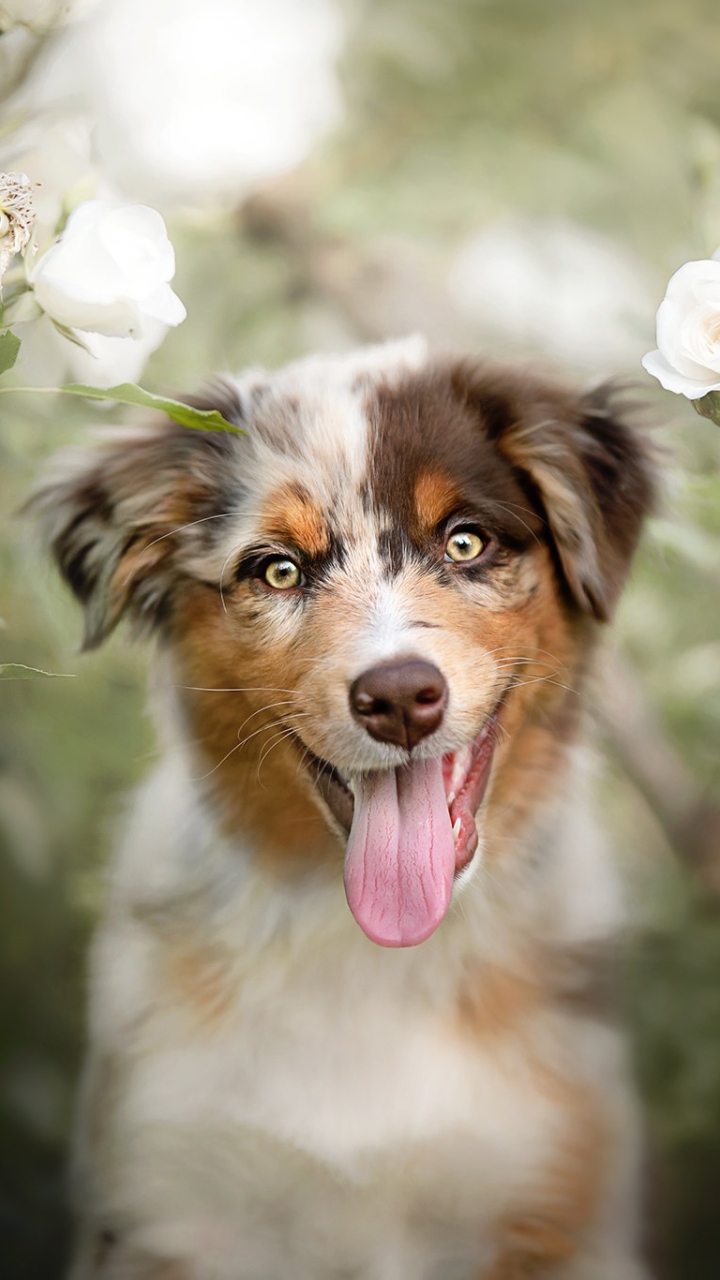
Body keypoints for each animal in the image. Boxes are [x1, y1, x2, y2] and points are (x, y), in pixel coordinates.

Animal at [37, 340, 655, 1280]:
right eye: (279, 569)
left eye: (465, 542)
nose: (400, 699)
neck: (372, 956)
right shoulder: (161, 1201)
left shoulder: (555, 1208)